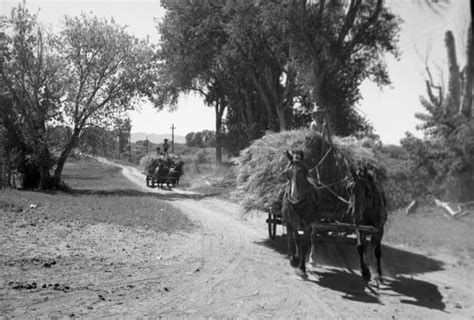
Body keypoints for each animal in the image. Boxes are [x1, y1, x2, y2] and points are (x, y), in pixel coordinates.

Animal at [282, 150, 386, 282]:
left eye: (304, 171)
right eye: (287, 173)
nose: (294, 196)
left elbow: (304, 244)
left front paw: (301, 269)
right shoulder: (289, 222)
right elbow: (292, 240)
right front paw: (294, 260)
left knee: (313, 237)